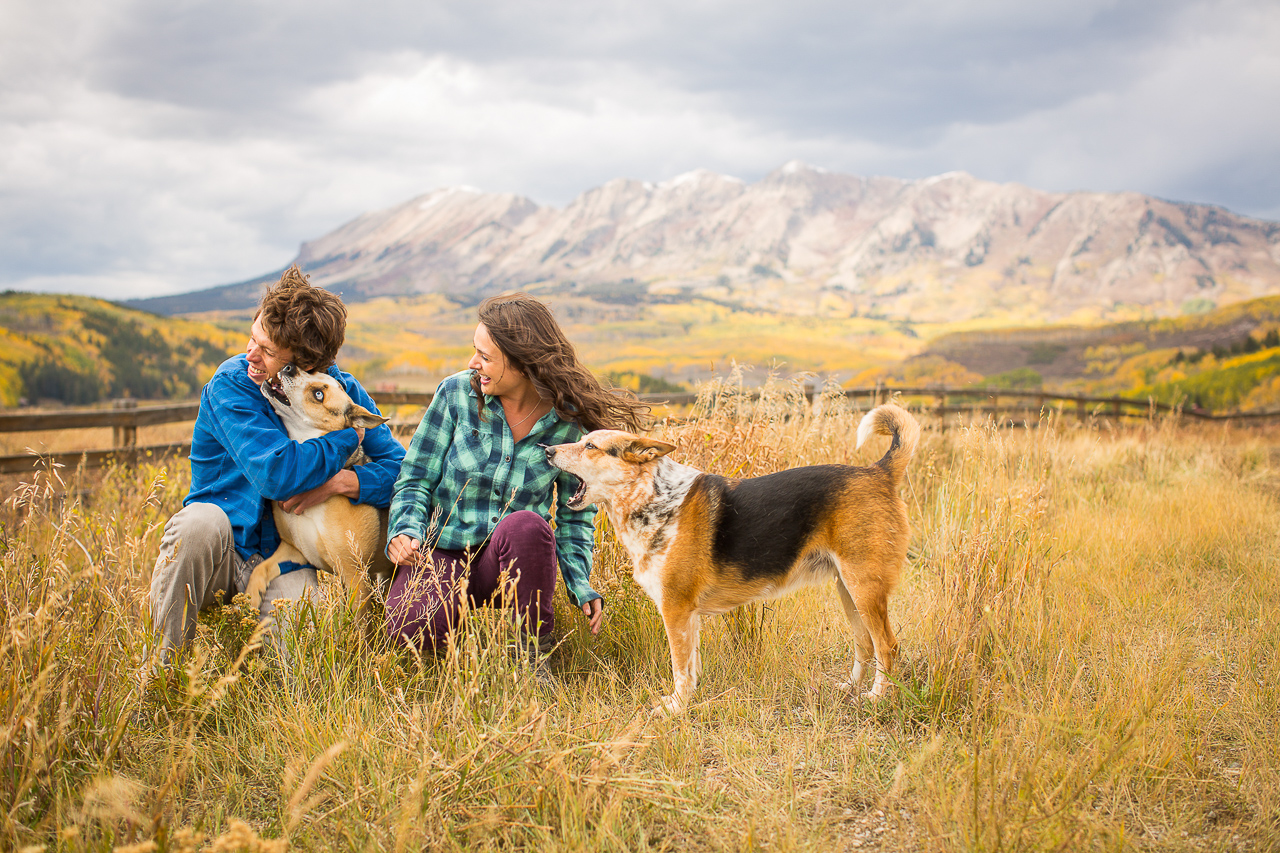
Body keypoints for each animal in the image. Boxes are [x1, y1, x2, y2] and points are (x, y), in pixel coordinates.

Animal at [243, 361, 394, 614]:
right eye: (311, 372)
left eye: (319, 395)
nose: (289, 367)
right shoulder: (292, 550)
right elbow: (260, 569)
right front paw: (250, 599)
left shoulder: (355, 576)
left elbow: (354, 621)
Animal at [545, 404, 916, 712]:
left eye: (590, 447)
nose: (547, 450)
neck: (651, 497)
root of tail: (878, 472)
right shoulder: (688, 615)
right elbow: (691, 668)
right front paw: (687, 701)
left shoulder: (675, 609)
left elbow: (679, 667)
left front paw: (675, 708)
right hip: (848, 590)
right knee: (865, 644)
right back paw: (850, 689)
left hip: (863, 588)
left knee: (888, 646)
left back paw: (877, 697)